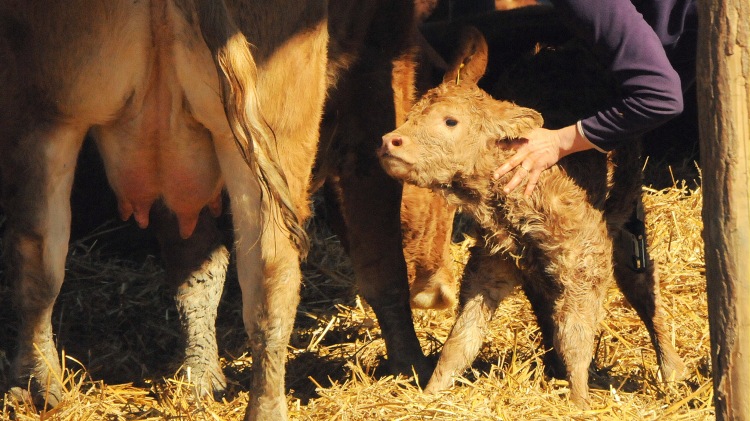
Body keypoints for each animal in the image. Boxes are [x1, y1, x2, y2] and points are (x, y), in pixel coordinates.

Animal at [378, 28, 692, 406]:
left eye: (450, 121)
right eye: (413, 114)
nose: (390, 141)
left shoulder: (585, 261)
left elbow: (575, 335)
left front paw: (580, 401)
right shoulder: (490, 262)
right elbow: (462, 338)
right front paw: (430, 393)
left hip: (628, 207)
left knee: (639, 284)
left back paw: (672, 369)